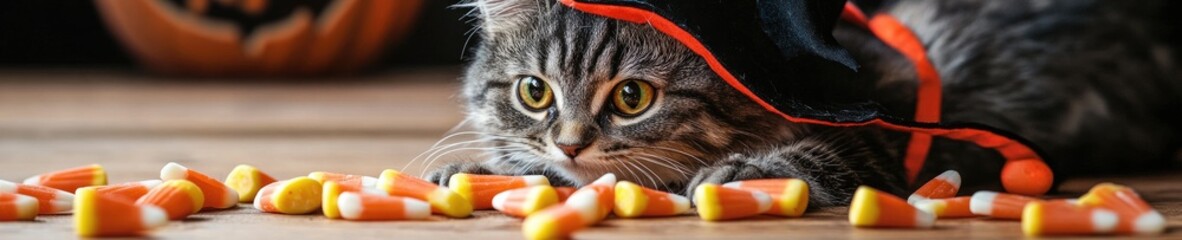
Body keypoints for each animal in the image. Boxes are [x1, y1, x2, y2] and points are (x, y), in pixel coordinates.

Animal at [427, 0, 1182, 205]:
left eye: (632, 97)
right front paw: (492, 169)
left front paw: (745, 171)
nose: (571, 140)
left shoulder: (879, 126)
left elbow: (813, 153)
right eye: (535, 92)